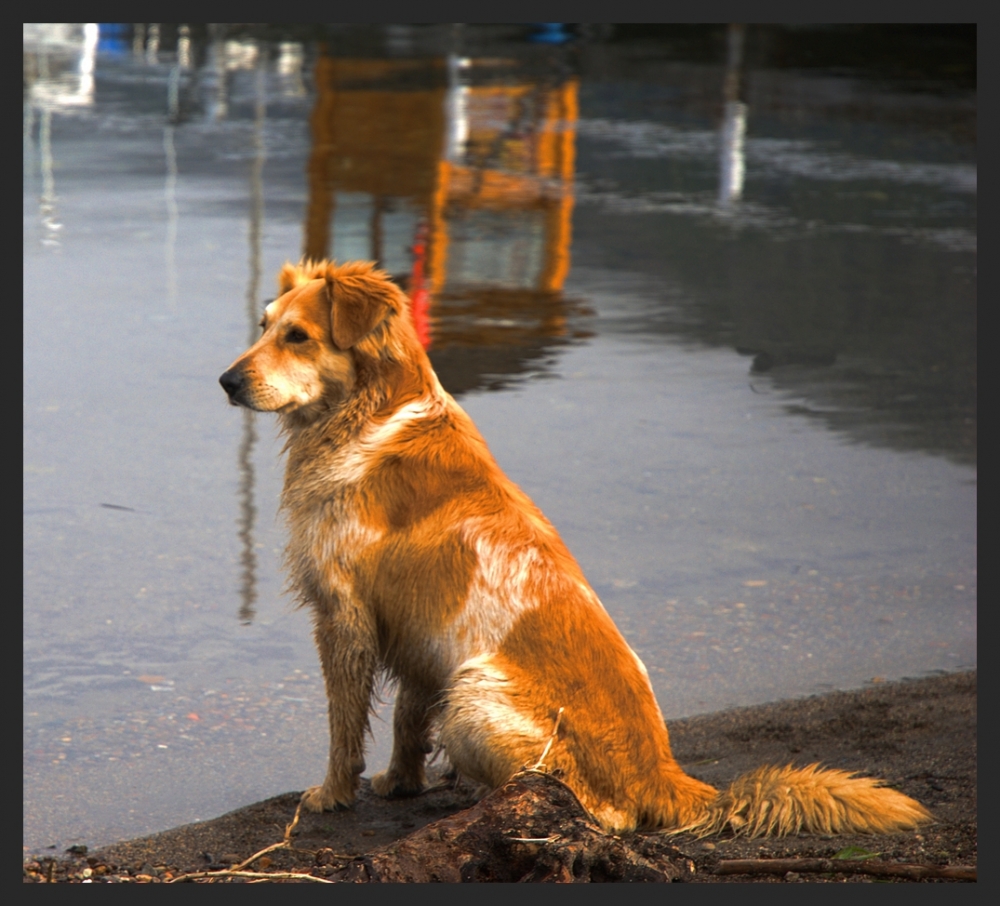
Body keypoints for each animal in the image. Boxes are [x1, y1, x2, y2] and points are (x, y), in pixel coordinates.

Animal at [219, 260, 928, 832]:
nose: (225, 382)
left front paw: (332, 794)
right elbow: (405, 721)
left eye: (297, 337)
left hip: (472, 694)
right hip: (461, 681)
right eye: (263, 325)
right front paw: (399, 782)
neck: (369, 413)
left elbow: (344, 724)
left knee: (598, 810)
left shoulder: (344, 617)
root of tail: (662, 773)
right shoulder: (421, 635)